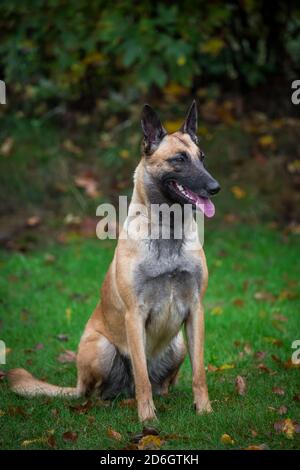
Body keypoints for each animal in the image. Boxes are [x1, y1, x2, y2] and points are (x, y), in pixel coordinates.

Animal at [8, 100, 220, 422]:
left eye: (202, 158)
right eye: (179, 159)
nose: (215, 186)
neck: (167, 231)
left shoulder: (196, 311)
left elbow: (199, 374)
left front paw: (204, 410)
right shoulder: (135, 315)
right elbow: (142, 377)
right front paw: (148, 420)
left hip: (178, 345)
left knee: (160, 384)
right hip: (101, 346)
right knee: (103, 390)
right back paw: (110, 402)